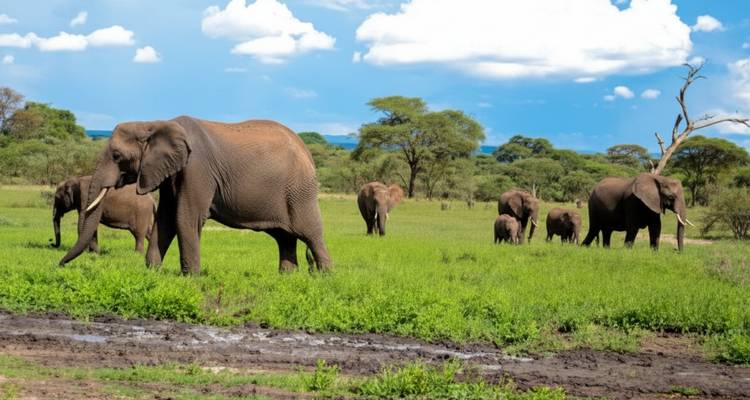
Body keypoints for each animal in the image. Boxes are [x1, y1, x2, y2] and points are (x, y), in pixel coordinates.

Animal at [58, 116, 332, 275]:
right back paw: (287, 278)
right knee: (284, 237)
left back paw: (325, 278)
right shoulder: (170, 172)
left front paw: (190, 278)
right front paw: (151, 272)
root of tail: (307, 151)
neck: (154, 122)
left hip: (300, 192)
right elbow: (166, 220)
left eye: (116, 156)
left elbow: (185, 218)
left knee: (310, 234)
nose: (59, 265)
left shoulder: (197, 169)